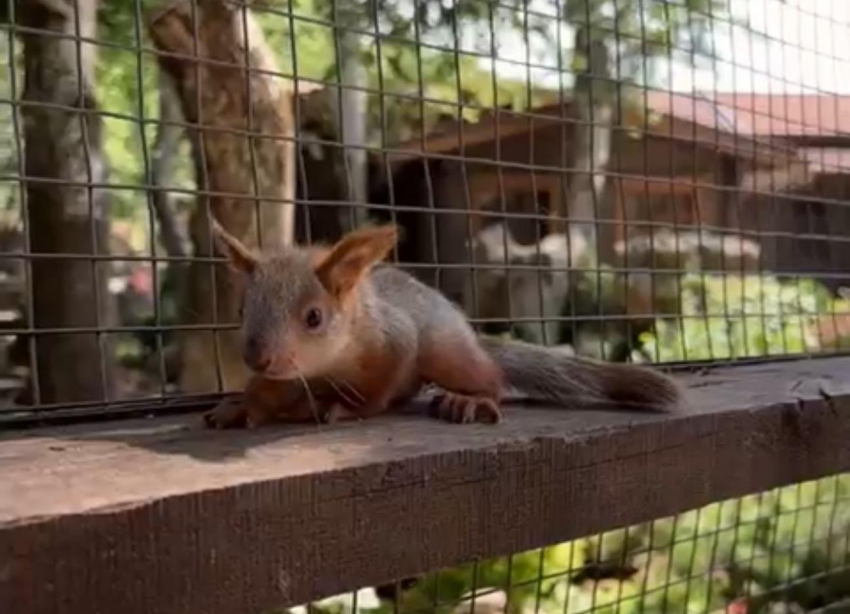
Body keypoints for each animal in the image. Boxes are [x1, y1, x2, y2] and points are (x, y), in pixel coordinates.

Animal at [200, 224, 684, 430]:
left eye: (314, 317)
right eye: (242, 309)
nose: (256, 357)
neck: (325, 368)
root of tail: (471, 336)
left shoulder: (394, 339)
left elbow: (378, 390)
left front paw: (349, 409)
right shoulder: (285, 376)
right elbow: (265, 391)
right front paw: (240, 407)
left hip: (447, 352)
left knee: (490, 377)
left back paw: (468, 400)